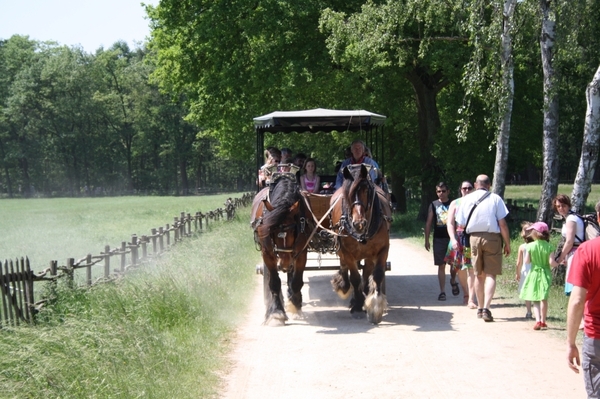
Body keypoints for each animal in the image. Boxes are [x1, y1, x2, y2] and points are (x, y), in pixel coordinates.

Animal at [250, 177, 314, 326]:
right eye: (271, 230)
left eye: (293, 229)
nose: (284, 263)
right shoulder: (267, 253)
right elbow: (274, 282)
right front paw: (276, 313)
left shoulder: (301, 252)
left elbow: (296, 282)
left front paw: (294, 307)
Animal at [330, 164, 392, 324]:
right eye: (347, 194)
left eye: (366, 190)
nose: (358, 223)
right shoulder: (347, 252)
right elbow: (355, 278)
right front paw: (357, 305)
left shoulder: (382, 249)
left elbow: (377, 274)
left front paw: (375, 306)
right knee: (345, 267)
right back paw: (344, 286)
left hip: (369, 254)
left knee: (367, 272)